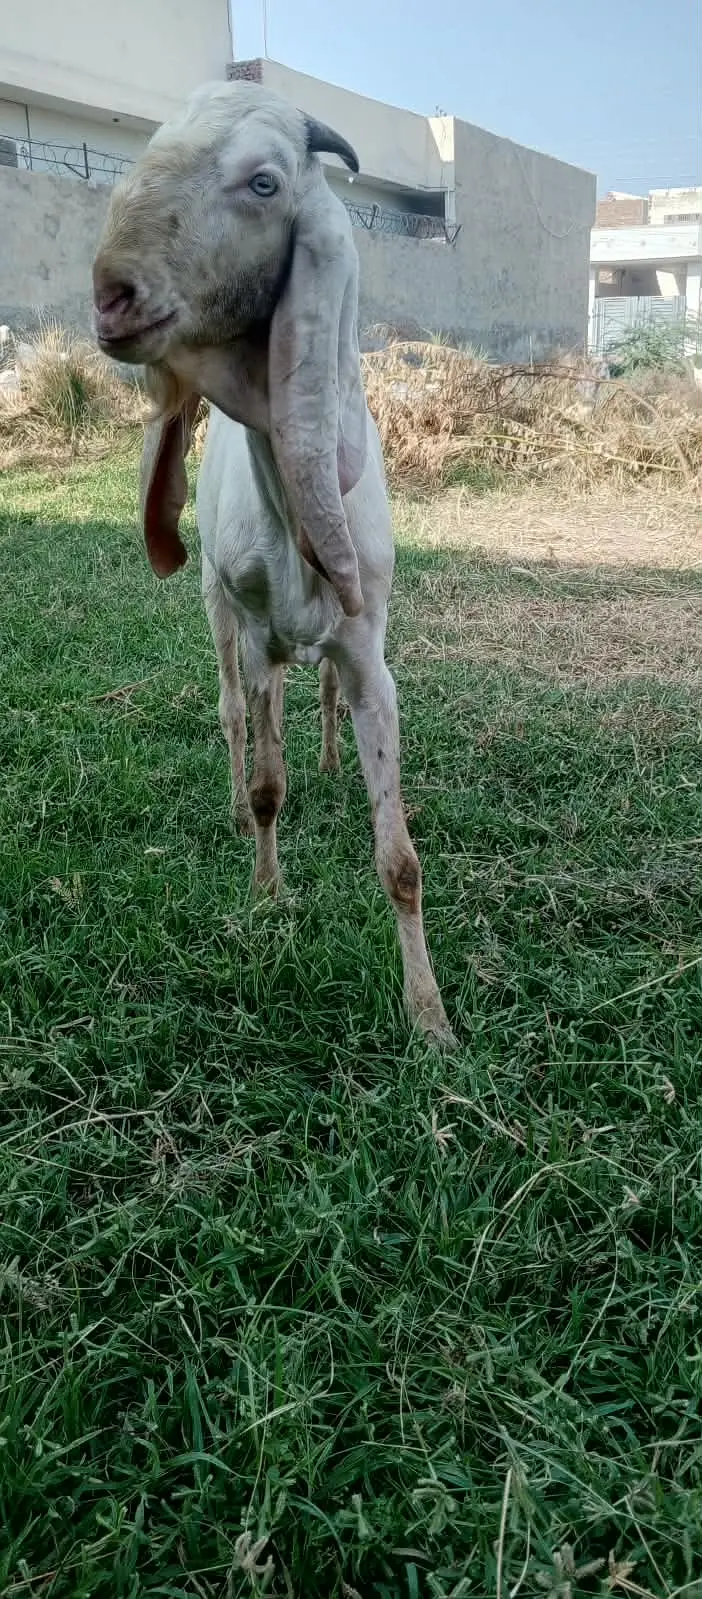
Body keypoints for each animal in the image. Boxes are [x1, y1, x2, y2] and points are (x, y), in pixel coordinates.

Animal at [92, 80, 455, 1047]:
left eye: (265, 182)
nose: (111, 294)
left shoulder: (367, 647)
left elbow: (400, 856)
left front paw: (430, 1020)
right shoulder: (254, 633)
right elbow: (264, 783)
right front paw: (267, 892)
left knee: (308, 698)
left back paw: (325, 758)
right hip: (219, 612)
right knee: (232, 715)